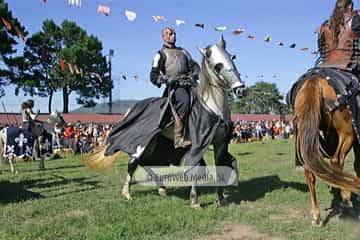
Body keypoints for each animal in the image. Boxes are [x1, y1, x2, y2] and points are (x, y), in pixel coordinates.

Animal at [296, 75, 360, 227]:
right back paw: (347, 201)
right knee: (337, 160)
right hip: (347, 133)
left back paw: (316, 215)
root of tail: (316, 81)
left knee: (310, 170)